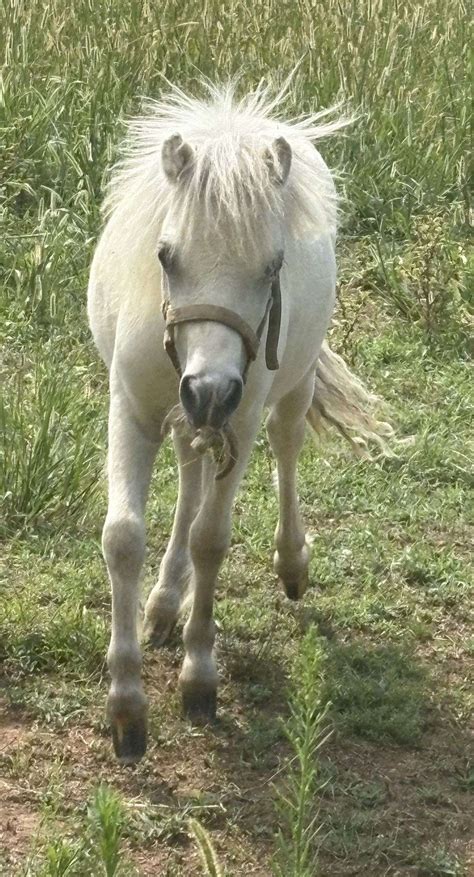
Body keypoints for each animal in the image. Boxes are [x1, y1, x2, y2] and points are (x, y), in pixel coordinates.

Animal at [87, 80, 391, 763]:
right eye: (165, 256)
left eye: (273, 267)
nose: (209, 388)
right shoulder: (133, 409)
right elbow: (124, 538)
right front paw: (126, 705)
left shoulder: (240, 418)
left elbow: (211, 538)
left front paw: (199, 678)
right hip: (187, 414)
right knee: (190, 469)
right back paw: (163, 603)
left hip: (285, 390)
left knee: (285, 448)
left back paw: (291, 563)